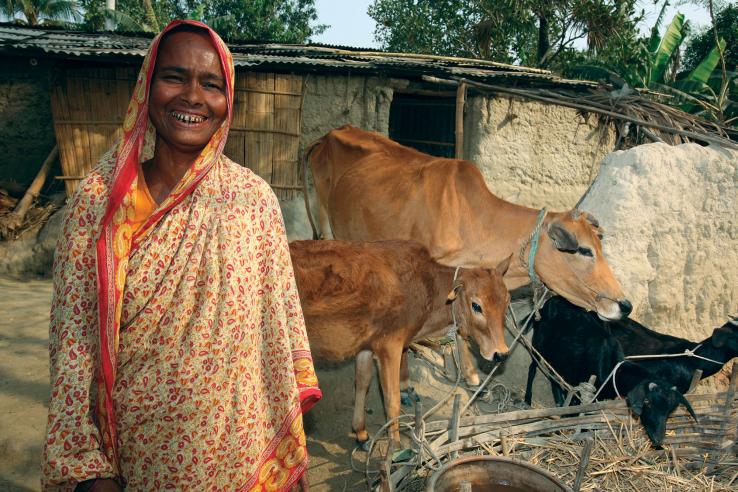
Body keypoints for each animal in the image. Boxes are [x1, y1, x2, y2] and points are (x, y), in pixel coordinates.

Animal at [288, 240, 506, 444]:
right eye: (476, 305)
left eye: (506, 301)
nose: (501, 353)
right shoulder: (389, 346)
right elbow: (392, 400)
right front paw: (397, 448)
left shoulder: (367, 345)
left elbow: (362, 382)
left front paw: (361, 432)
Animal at [524, 298, 696, 448]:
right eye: (647, 402)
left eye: (670, 409)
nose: (658, 439)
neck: (612, 367)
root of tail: (549, 302)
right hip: (538, 346)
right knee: (533, 368)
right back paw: (529, 400)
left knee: (553, 379)